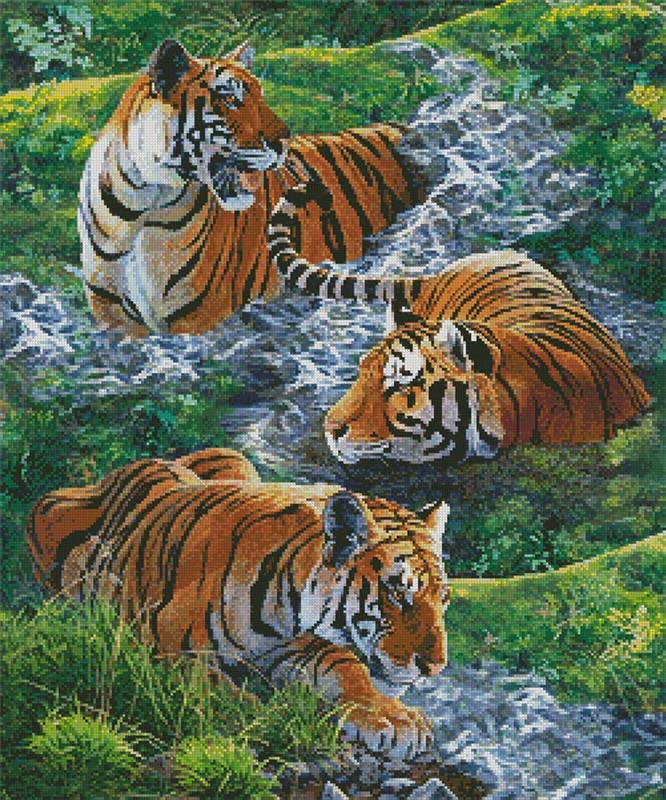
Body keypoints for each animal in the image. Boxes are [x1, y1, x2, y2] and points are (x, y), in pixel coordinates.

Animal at [27, 447, 450, 756]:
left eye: (443, 598)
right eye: (397, 592)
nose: (435, 667)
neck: (286, 605)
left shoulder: (298, 646)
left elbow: (348, 669)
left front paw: (394, 718)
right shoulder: (158, 644)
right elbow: (214, 687)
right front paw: (272, 719)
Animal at [78, 38, 423, 336]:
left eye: (260, 95)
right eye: (231, 98)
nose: (284, 140)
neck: (145, 198)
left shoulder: (201, 316)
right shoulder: (116, 319)